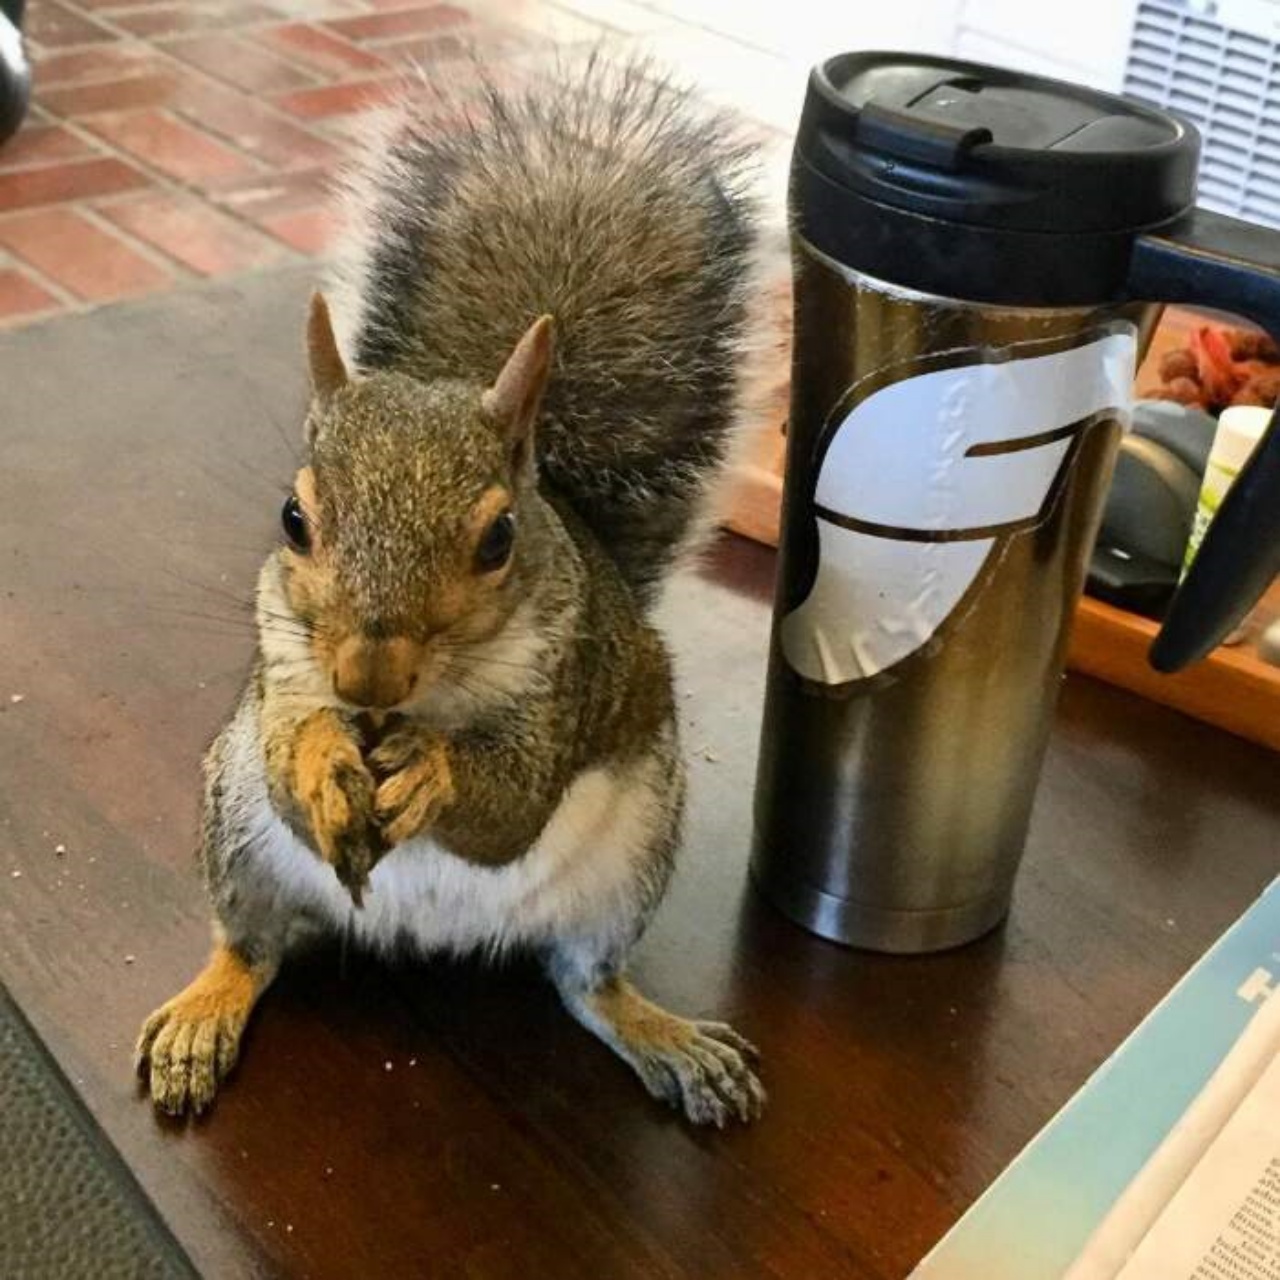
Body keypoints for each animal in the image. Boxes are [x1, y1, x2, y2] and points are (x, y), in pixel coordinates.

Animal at [135, 55, 762, 1126]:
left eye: (500, 538)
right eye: (292, 518)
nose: (368, 678)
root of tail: (422, 939)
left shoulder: (565, 685)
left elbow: (511, 804)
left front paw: (435, 770)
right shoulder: (282, 666)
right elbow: (290, 756)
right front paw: (324, 764)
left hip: (630, 863)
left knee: (588, 985)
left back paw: (669, 1038)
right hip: (235, 830)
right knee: (251, 949)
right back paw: (202, 1014)